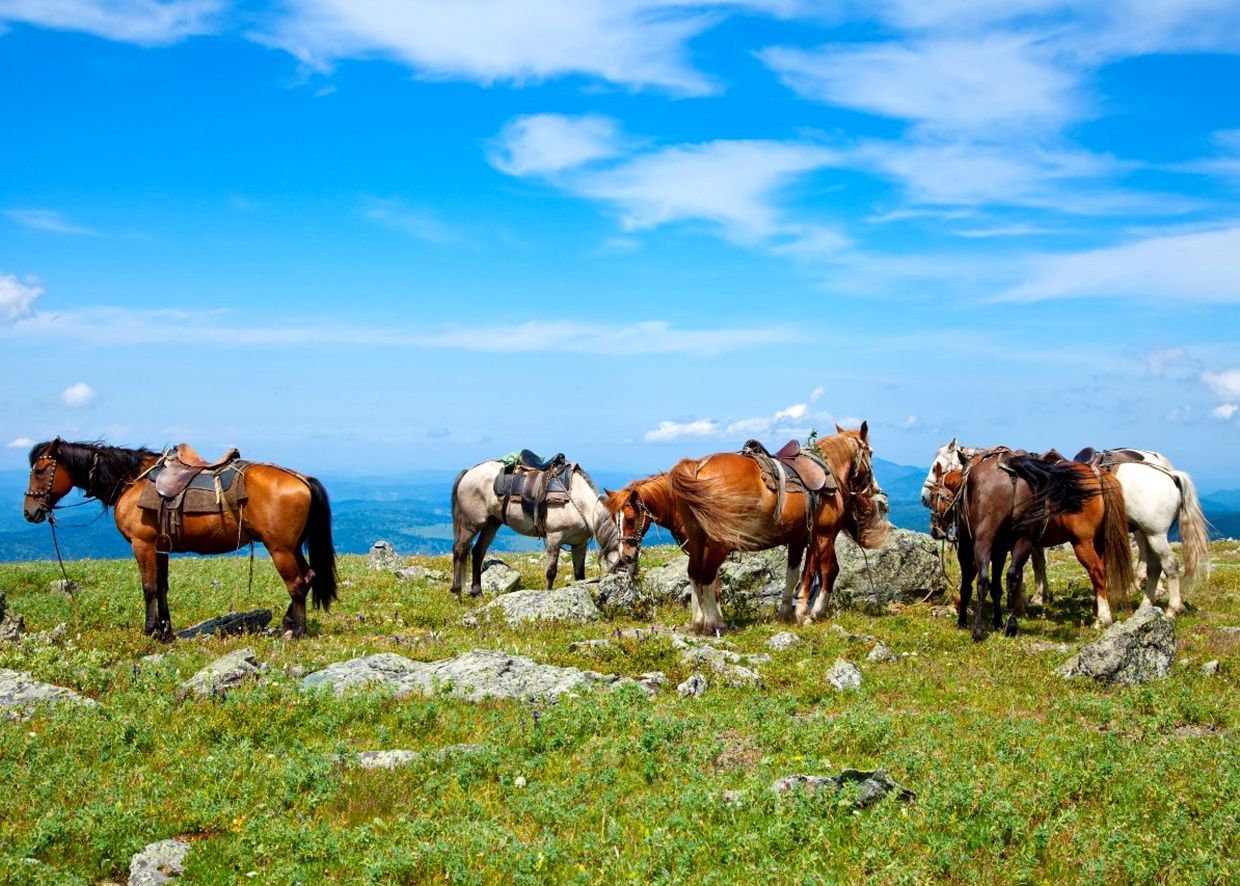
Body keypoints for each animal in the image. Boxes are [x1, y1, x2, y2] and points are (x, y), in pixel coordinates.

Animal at [24, 441, 334, 639]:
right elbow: (162, 587)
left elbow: (148, 588)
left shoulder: (142, 545)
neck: (132, 481)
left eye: (39, 471)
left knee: (297, 583)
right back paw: (289, 623)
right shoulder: (160, 548)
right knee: (308, 577)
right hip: (292, 547)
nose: (29, 512)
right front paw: (165, 630)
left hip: (280, 548)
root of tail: (301, 478)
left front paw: (150, 631)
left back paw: (296, 632)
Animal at [446, 460, 624, 599]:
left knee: (478, 552)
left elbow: (579, 574)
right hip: (471, 523)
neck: (579, 502)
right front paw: (546, 595)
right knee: (459, 550)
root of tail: (469, 471)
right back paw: (457, 593)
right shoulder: (554, 538)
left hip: (491, 524)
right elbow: (551, 571)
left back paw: (477, 593)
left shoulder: (579, 544)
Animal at [922, 438, 1210, 617]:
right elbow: (1038, 564)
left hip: (1154, 533)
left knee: (1168, 564)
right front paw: (1040, 596)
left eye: (937, 467)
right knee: (1152, 566)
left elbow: (1031, 566)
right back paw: (1145, 603)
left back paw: (1172, 607)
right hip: (1145, 531)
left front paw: (1030, 599)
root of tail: (1169, 474)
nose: (924, 497)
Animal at [932, 453, 1135, 639]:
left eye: (933, 496)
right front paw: (1007, 616)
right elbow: (1005, 582)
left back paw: (1103, 617)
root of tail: (1097, 474)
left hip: (1080, 542)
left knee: (1096, 571)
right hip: (1096, 541)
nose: (935, 530)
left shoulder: (969, 546)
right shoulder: (1004, 548)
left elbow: (968, 584)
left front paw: (964, 621)